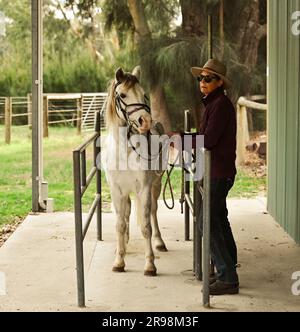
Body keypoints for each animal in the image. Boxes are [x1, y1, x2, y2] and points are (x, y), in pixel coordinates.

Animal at [104, 66, 168, 276]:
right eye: (123, 95)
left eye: (144, 94)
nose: (145, 121)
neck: (125, 151)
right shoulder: (117, 191)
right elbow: (120, 224)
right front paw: (119, 260)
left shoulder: (145, 189)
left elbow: (146, 225)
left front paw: (150, 264)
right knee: (127, 213)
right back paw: (124, 244)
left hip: (156, 185)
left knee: (153, 211)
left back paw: (159, 242)